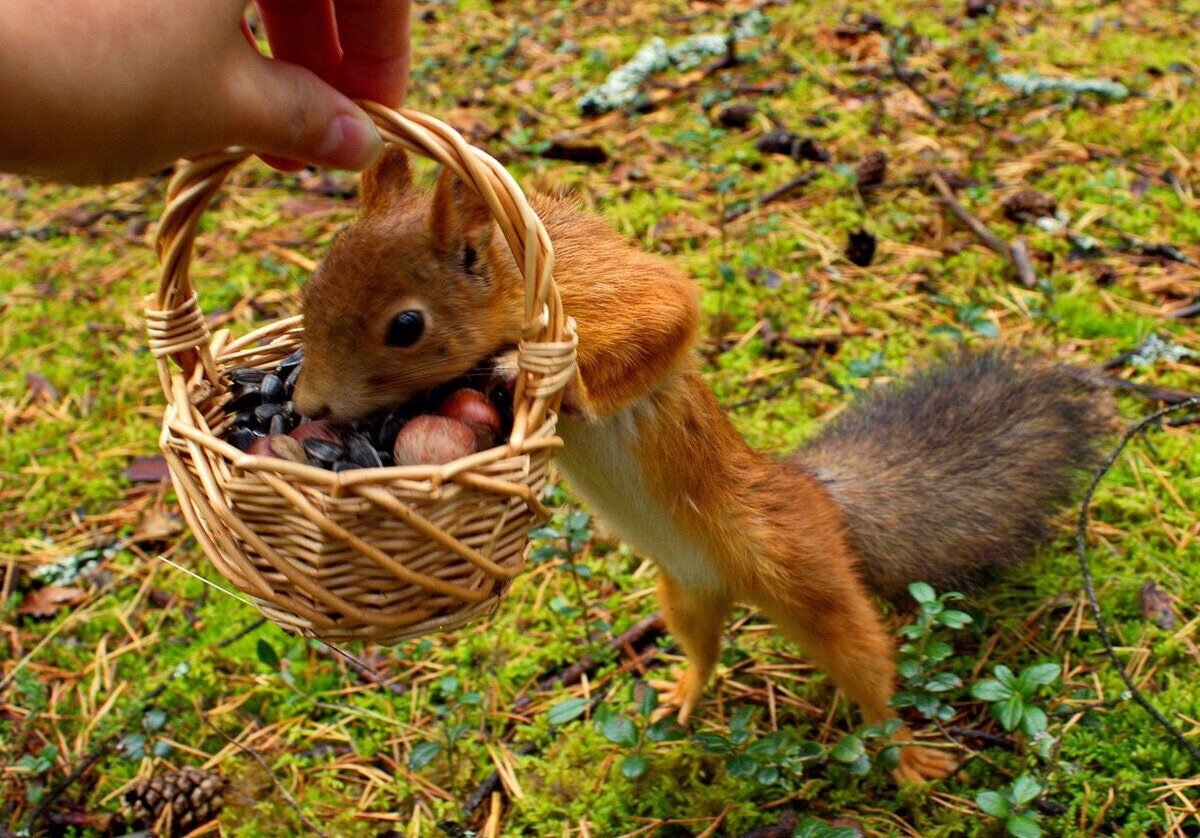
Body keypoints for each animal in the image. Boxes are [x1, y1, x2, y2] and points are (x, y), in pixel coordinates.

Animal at [295, 150, 1108, 782]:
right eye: (311, 286)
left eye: (407, 325)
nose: (307, 403)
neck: (514, 279)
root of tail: (816, 496)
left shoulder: (600, 289)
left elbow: (667, 315)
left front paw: (549, 380)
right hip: (684, 594)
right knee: (704, 648)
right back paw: (683, 694)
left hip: (806, 573)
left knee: (868, 671)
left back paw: (906, 755)